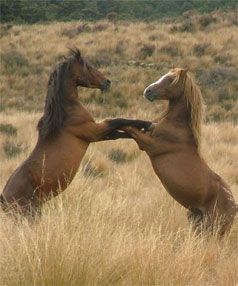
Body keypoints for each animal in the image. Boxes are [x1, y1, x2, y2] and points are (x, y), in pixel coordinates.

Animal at [0, 49, 152, 218]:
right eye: (88, 67)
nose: (107, 82)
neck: (68, 113)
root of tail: (4, 198)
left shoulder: (97, 135)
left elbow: (120, 132)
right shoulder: (93, 131)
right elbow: (118, 121)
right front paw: (147, 124)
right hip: (29, 214)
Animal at [122, 68, 237, 236]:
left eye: (171, 80)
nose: (148, 91)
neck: (177, 125)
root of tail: (234, 206)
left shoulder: (149, 145)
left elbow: (128, 127)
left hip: (213, 230)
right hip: (196, 221)